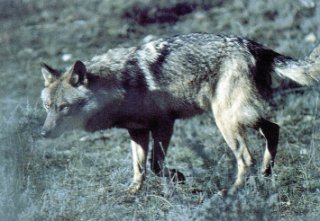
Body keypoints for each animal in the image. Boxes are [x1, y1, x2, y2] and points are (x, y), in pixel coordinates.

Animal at [40, 33, 320, 195]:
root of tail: (257, 46)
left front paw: (179, 178)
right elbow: (139, 167)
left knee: (246, 158)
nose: (43, 133)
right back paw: (265, 173)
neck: (118, 83)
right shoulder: (137, 131)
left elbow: (155, 165)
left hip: (226, 121)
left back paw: (232, 192)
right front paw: (132, 193)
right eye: (47, 106)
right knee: (274, 129)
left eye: (64, 107)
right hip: (242, 117)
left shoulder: (164, 124)